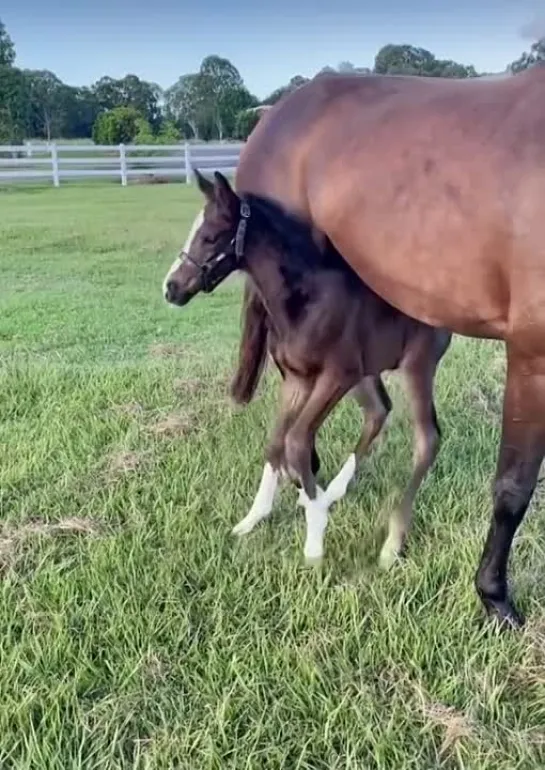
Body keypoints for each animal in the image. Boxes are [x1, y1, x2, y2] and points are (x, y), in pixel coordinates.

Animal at [163, 170, 450, 564]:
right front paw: (254, 518)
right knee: (378, 411)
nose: (171, 289)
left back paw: (391, 544)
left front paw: (314, 541)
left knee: (426, 440)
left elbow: (297, 442)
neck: (308, 299)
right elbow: (276, 443)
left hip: (415, 367)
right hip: (367, 372)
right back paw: (335, 492)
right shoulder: (297, 380)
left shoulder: (336, 376)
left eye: (209, 236)